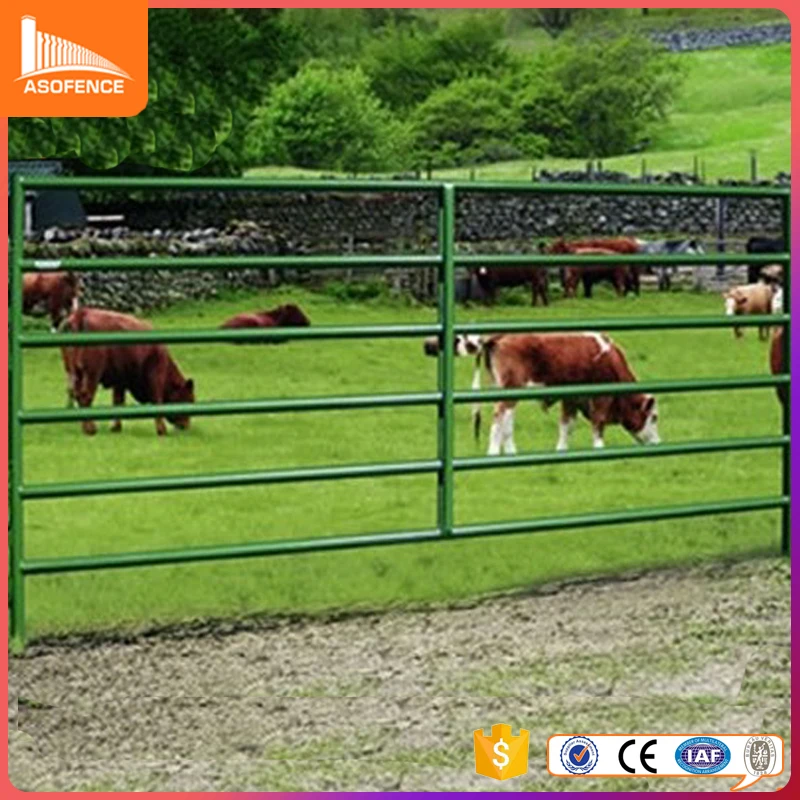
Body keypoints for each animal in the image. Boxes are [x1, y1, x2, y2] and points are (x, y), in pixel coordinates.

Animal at [60, 307, 195, 436]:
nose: (186, 426)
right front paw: (161, 430)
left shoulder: (120, 381)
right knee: (85, 396)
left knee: (75, 394)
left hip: (74, 373)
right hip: (92, 374)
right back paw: (90, 429)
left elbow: (118, 401)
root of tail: (81, 314)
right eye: (188, 398)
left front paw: (116, 427)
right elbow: (157, 400)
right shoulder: (155, 377)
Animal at [423, 332, 660, 454]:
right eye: (654, 417)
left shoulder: (571, 398)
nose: (657, 442)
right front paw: (599, 448)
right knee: (498, 420)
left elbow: (566, 426)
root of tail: (498, 338)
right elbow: (598, 424)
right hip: (509, 392)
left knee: (507, 424)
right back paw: (494, 451)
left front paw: (561, 450)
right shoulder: (601, 397)